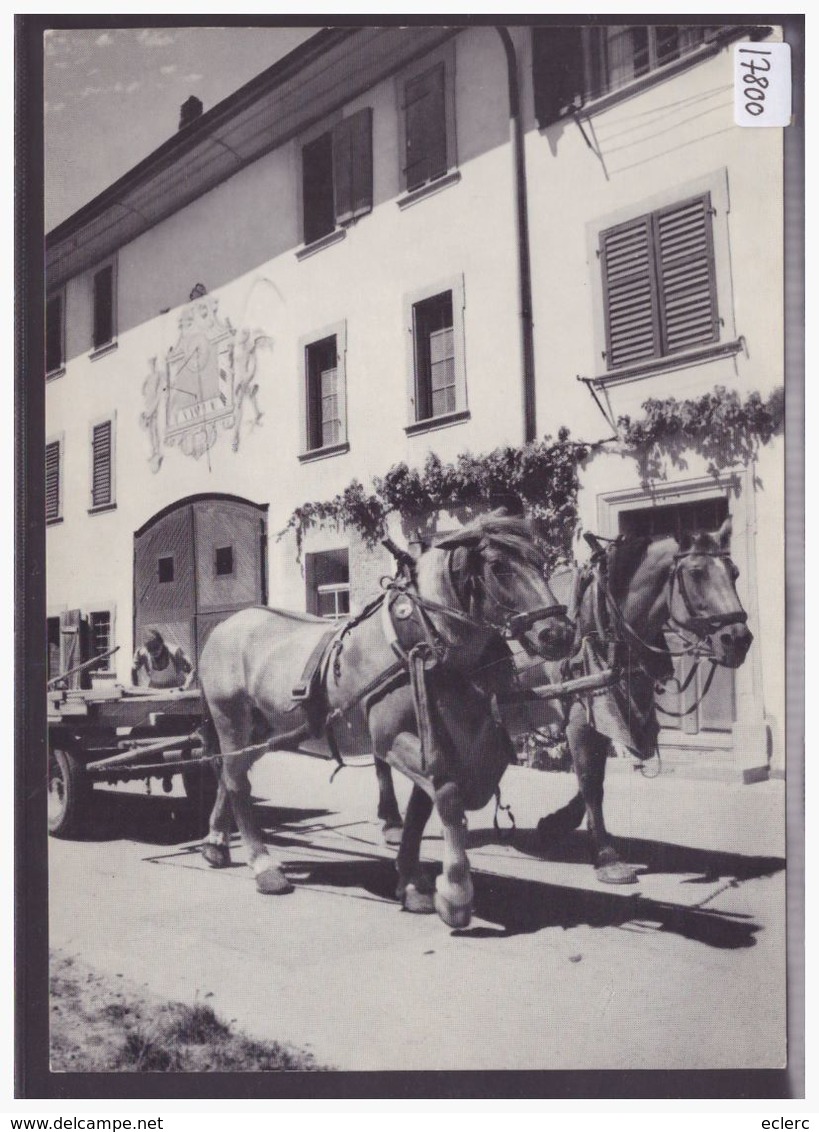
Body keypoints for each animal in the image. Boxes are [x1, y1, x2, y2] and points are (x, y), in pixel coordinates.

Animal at [197, 513, 577, 928]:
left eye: (541, 561)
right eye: (498, 567)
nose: (559, 634)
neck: (424, 641)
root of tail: (227, 625)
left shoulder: (435, 740)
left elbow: (420, 812)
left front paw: (411, 882)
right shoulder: (392, 738)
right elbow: (448, 798)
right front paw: (455, 893)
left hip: (266, 730)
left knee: (230, 773)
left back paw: (215, 843)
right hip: (231, 717)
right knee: (237, 781)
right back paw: (263, 865)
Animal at [532, 520, 756, 882]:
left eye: (734, 572)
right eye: (696, 573)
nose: (737, 639)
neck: (603, 617)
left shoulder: (615, 710)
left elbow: (591, 778)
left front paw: (555, 825)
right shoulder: (582, 713)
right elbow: (590, 781)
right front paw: (606, 855)